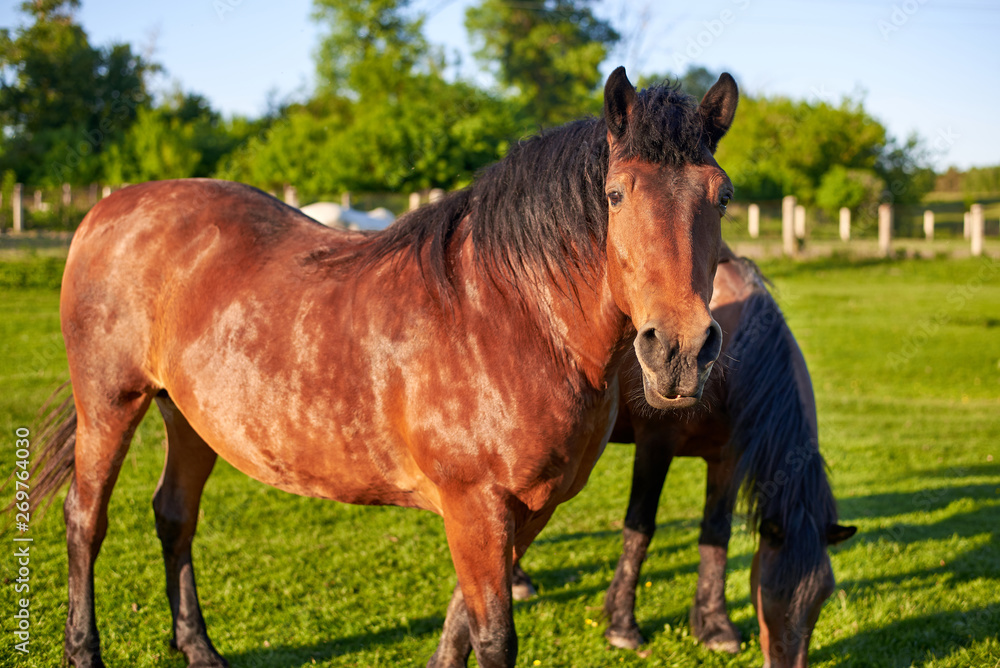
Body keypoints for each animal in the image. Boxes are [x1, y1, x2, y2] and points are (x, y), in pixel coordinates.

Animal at [26, 67, 739, 668]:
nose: (679, 350)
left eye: (722, 197)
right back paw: (83, 650)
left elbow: (458, 626)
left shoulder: (524, 510)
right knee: (84, 520)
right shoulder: (476, 505)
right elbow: (491, 638)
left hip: (190, 418)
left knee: (174, 517)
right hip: (110, 404)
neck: (509, 317)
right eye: (616, 194)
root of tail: (106, 210)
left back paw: (198, 649)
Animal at [512, 245, 856, 667]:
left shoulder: (726, 458)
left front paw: (714, 625)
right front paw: (622, 624)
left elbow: (716, 533)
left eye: (823, 595)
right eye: (772, 591)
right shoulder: (655, 444)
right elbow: (640, 527)